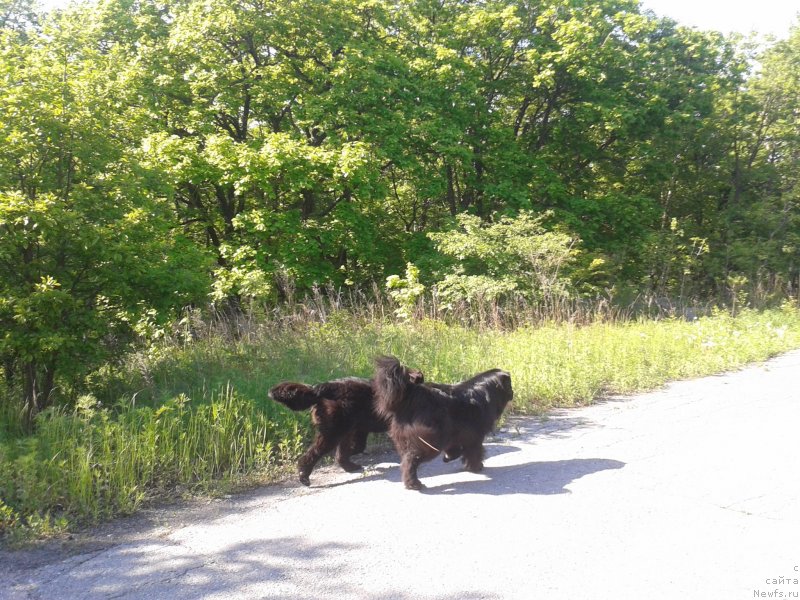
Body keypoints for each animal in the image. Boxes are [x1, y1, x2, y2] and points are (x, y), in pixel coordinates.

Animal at [268, 370, 422, 488]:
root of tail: (318, 390)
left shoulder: (360, 429)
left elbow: (357, 447)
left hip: (343, 429)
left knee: (339, 451)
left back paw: (349, 466)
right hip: (334, 431)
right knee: (312, 454)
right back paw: (304, 476)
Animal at [374, 356, 512, 488]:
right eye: (510, 385)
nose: (513, 392)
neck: (485, 391)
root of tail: (412, 396)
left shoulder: (459, 434)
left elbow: (457, 449)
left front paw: (450, 457)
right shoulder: (475, 436)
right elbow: (475, 451)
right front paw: (476, 466)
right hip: (430, 441)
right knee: (410, 460)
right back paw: (414, 484)